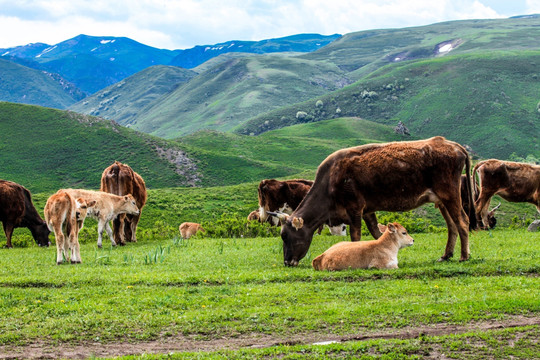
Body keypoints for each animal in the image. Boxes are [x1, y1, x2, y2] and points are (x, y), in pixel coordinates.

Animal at [280, 136, 474, 266]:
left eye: (286, 236)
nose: (287, 262)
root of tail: (452, 145)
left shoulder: (355, 208)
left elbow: (356, 237)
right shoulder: (368, 211)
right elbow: (377, 235)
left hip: (450, 194)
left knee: (462, 222)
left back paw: (464, 256)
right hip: (442, 200)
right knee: (452, 225)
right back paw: (446, 255)